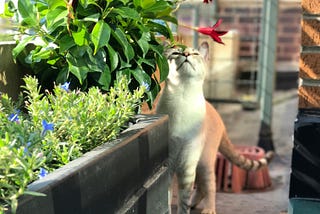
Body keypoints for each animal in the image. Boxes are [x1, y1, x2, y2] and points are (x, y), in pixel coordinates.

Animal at [155, 41, 272, 214]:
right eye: (176, 53)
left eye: (195, 53)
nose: (186, 54)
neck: (182, 95)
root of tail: (219, 117)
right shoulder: (168, 165)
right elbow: (167, 197)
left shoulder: (188, 164)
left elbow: (183, 199)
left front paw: (185, 208)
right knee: (201, 187)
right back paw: (195, 203)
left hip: (205, 162)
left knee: (210, 185)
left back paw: (208, 209)